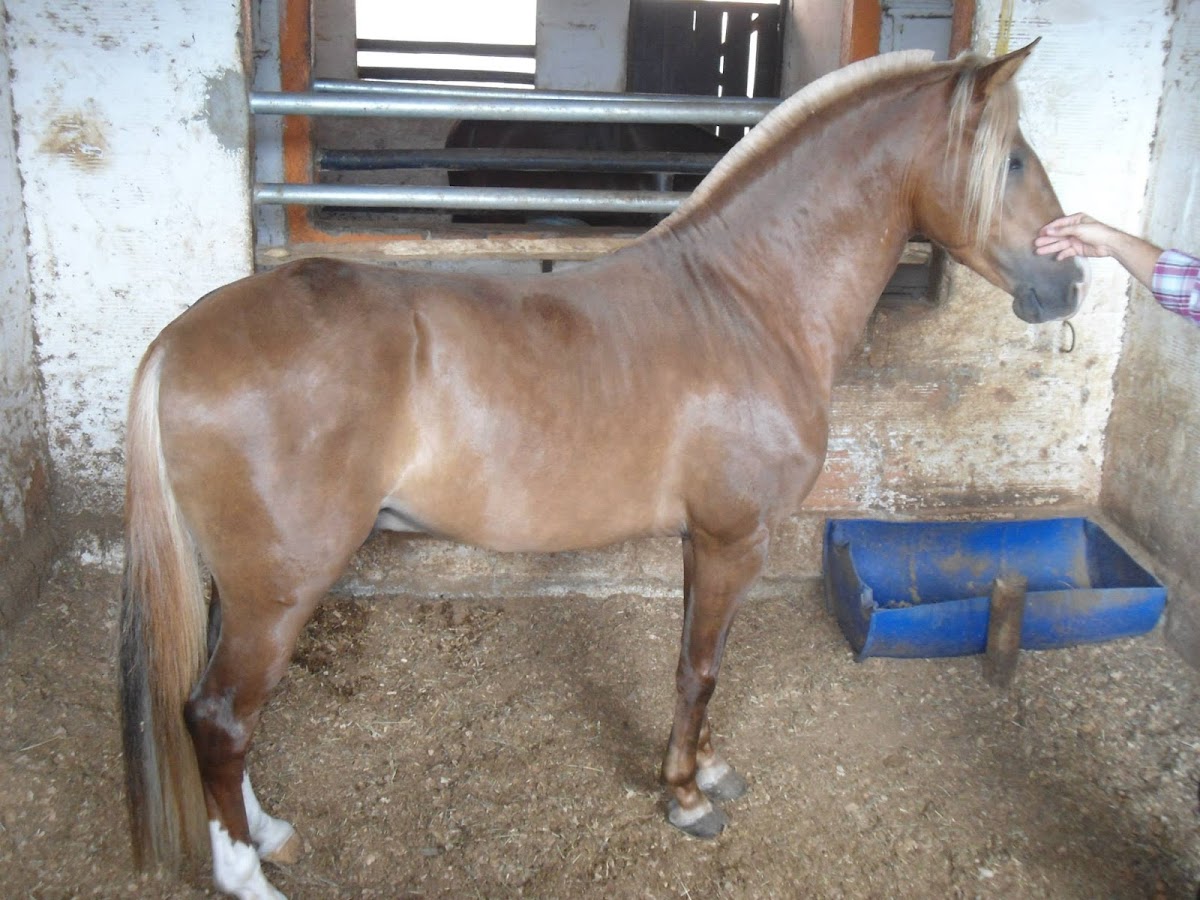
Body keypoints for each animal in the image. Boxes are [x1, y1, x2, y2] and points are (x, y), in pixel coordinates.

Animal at [121, 44, 1089, 900]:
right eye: (1011, 160)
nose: (1069, 284)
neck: (748, 302)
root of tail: (177, 340)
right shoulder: (736, 538)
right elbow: (701, 670)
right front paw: (688, 800)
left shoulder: (705, 541)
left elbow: (698, 659)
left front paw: (703, 768)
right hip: (282, 586)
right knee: (220, 718)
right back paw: (247, 875)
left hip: (245, 587)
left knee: (217, 713)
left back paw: (268, 833)